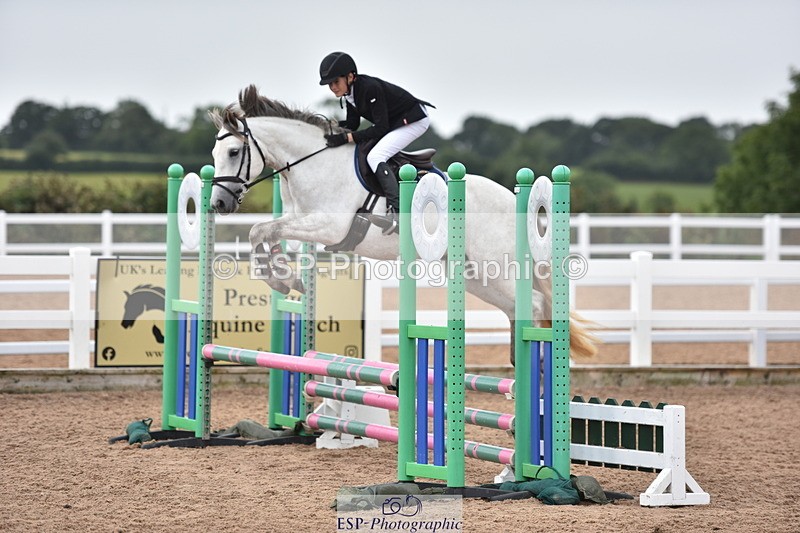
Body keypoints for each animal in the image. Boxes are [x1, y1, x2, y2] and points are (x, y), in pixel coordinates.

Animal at [209, 85, 597, 363]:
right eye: (215, 154)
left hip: (497, 266)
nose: (219, 204)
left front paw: (283, 280)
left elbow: (260, 231)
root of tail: (512, 199)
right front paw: (283, 278)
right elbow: (262, 233)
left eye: (233, 152)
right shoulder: (297, 221)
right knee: (518, 307)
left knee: (535, 304)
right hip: (475, 275)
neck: (312, 162)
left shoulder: (327, 227)